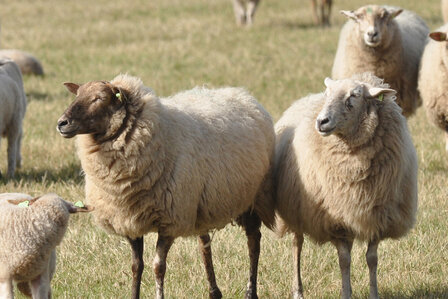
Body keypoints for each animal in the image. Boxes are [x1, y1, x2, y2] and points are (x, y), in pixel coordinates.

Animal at [55, 74, 272, 299]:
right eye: (77, 95)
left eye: (99, 98)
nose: (62, 123)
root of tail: (240, 93)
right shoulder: (128, 219)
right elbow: (136, 266)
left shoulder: (170, 220)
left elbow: (158, 267)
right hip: (200, 205)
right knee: (205, 245)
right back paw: (214, 292)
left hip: (253, 198)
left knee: (253, 241)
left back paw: (251, 292)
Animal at [274, 73, 418, 299]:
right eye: (328, 94)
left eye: (354, 95)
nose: (321, 121)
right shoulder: (337, 219)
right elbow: (344, 260)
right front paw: (346, 293)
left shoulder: (377, 217)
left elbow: (372, 259)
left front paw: (374, 293)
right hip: (295, 208)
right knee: (297, 245)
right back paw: (298, 291)